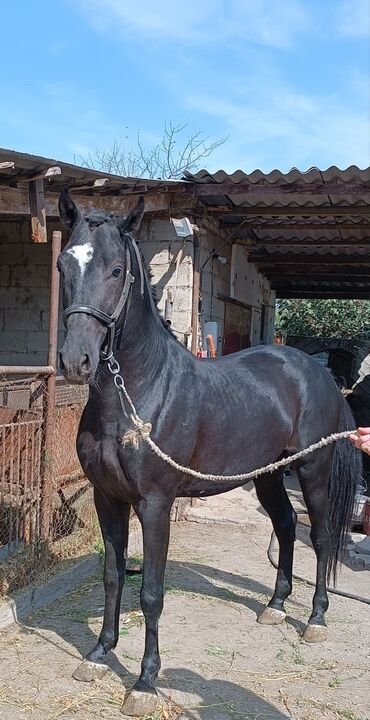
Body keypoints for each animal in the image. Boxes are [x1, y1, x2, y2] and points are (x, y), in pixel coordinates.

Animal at [57, 194, 362, 716]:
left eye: (116, 270)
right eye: (62, 264)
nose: (76, 361)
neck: (134, 398)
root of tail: (315, 372)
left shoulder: (155, 505)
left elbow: (151, 593)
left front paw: (144, 683)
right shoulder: (107, 499)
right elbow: (113, 577)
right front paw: (98, 655)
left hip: (312, 471)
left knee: (320, 538)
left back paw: (316, 620)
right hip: (269, 475)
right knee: (285, 527)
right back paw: (275, 608)